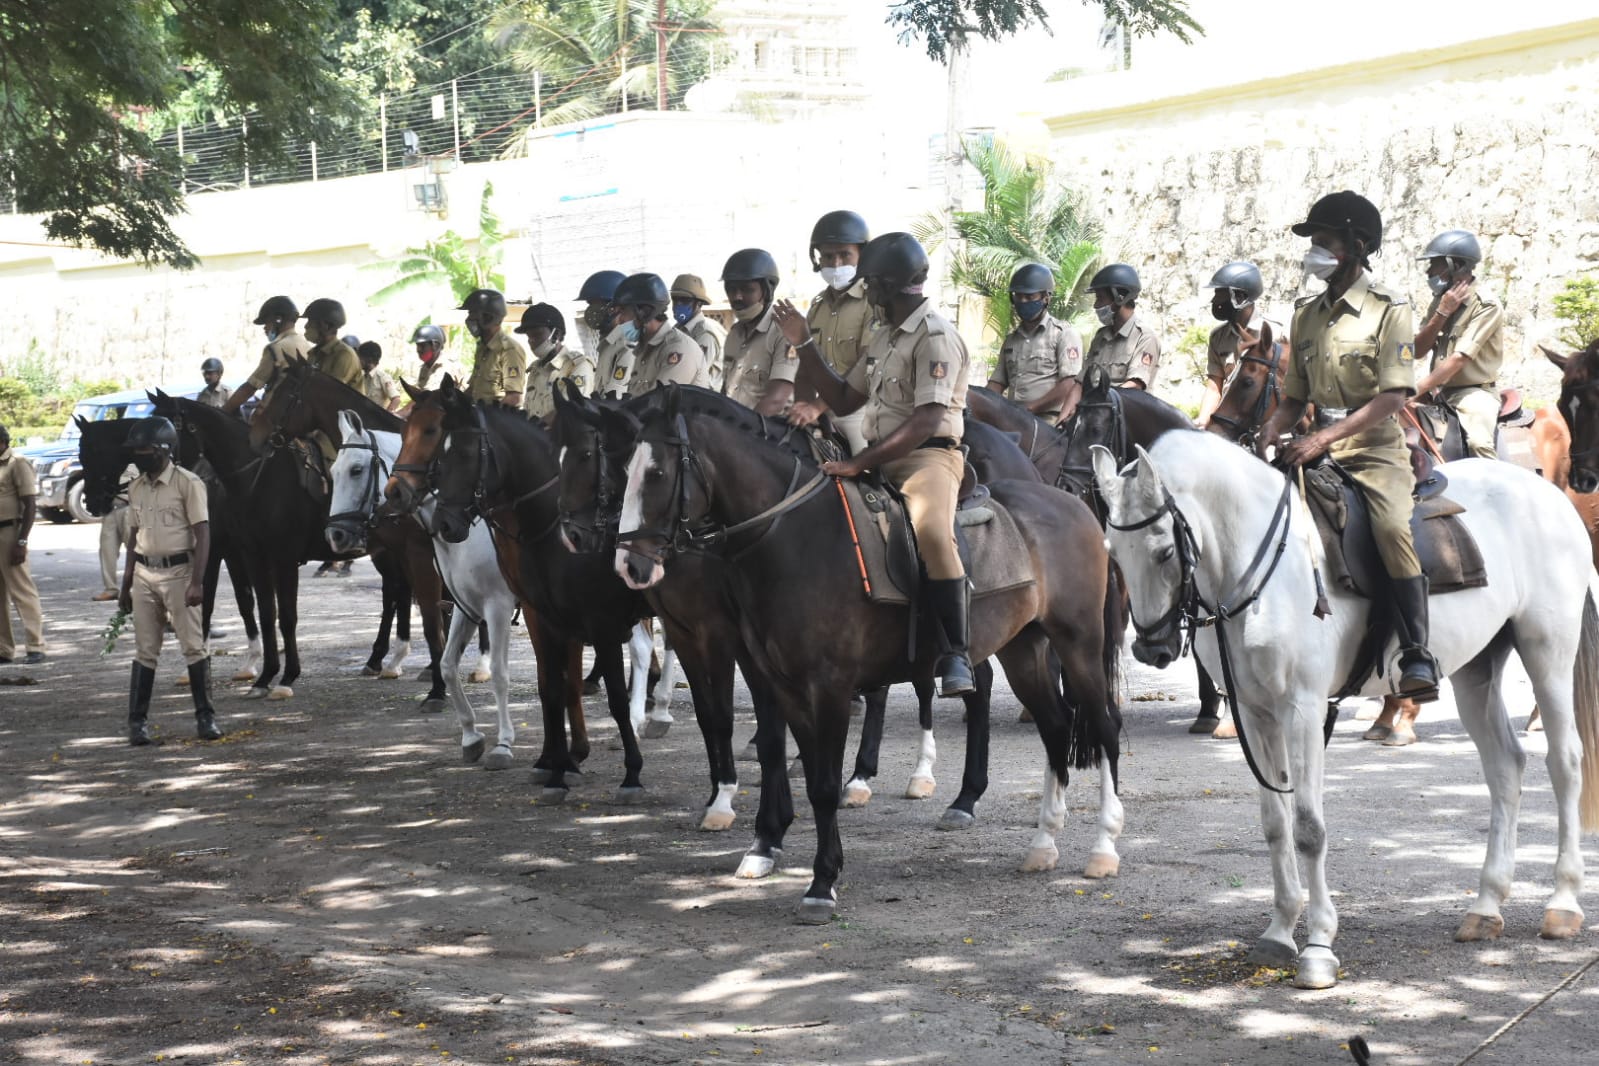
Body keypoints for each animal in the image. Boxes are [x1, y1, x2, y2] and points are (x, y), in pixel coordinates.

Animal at [78, 412, 263, 680]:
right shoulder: (233, 552)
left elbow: (206, 602)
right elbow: (244, 601)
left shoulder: (215, 551)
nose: (91, 503)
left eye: (87, 454)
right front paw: (250, 661)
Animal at [327, 412, 521, 770]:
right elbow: (446, 660)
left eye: (356, 470)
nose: (336, 535)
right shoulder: (465, 606)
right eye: (333, 471)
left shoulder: (496, 606)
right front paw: (470, 735)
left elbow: (497, 672)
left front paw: (502, 743)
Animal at [610, 385, 1125, 926]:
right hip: (1024, 649)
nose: (629, 564)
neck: (793, 537)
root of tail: (1073, 504)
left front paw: (820, 882)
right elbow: (797, 765)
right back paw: (1043, 843)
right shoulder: (783, 684)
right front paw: (779, 851)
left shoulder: (828, 686)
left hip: (1078, 643)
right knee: (1056, 726)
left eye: (656, 473)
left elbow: (822, 784)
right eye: (623, 469)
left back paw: (1102, 848)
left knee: (1104, 727)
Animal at [1093, 434, 1599, 990]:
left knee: (1564, 762)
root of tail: (1549, 493)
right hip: (1477, 668)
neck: (1259, 568)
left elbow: (1309, 828)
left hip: (1547, 651)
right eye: (1113, 553)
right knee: (1506, 766)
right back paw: (1486, 908)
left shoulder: (1303, 711)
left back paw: (1563, 903)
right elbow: (1275, 825)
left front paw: (1318, 948)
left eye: (1164, 551)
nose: (1152, 648)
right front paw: (1279, 932)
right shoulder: (1255, 714)